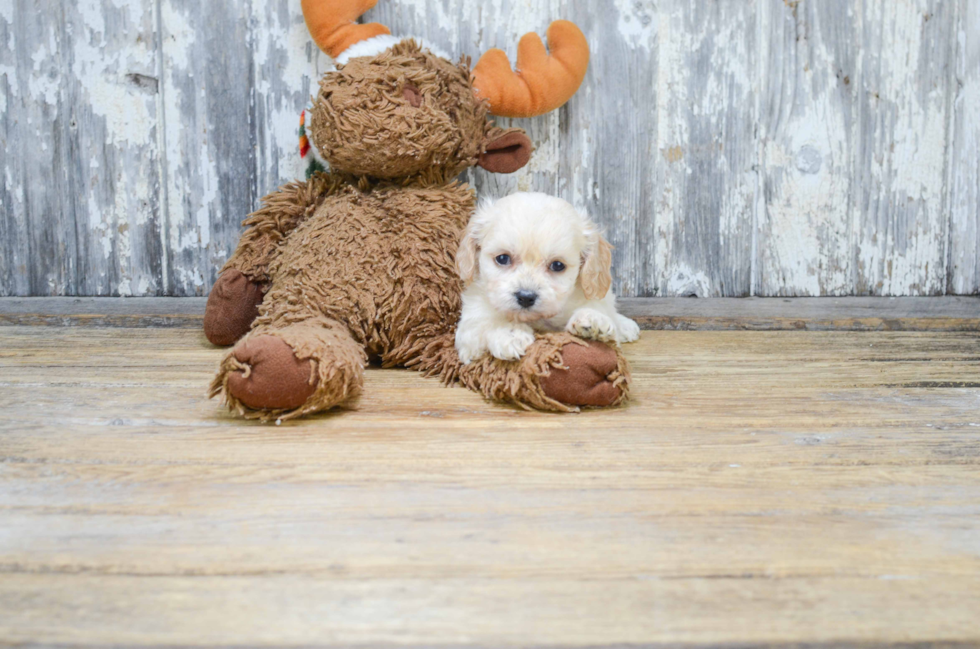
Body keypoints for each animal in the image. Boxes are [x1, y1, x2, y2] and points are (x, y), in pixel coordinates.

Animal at [454, 192, 640, 364]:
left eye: (557, 265)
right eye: (503, 258)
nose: (526, 297)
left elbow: (599, 311)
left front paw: (592, 320)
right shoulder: (471, 326)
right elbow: (484, 324)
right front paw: (510, 333)